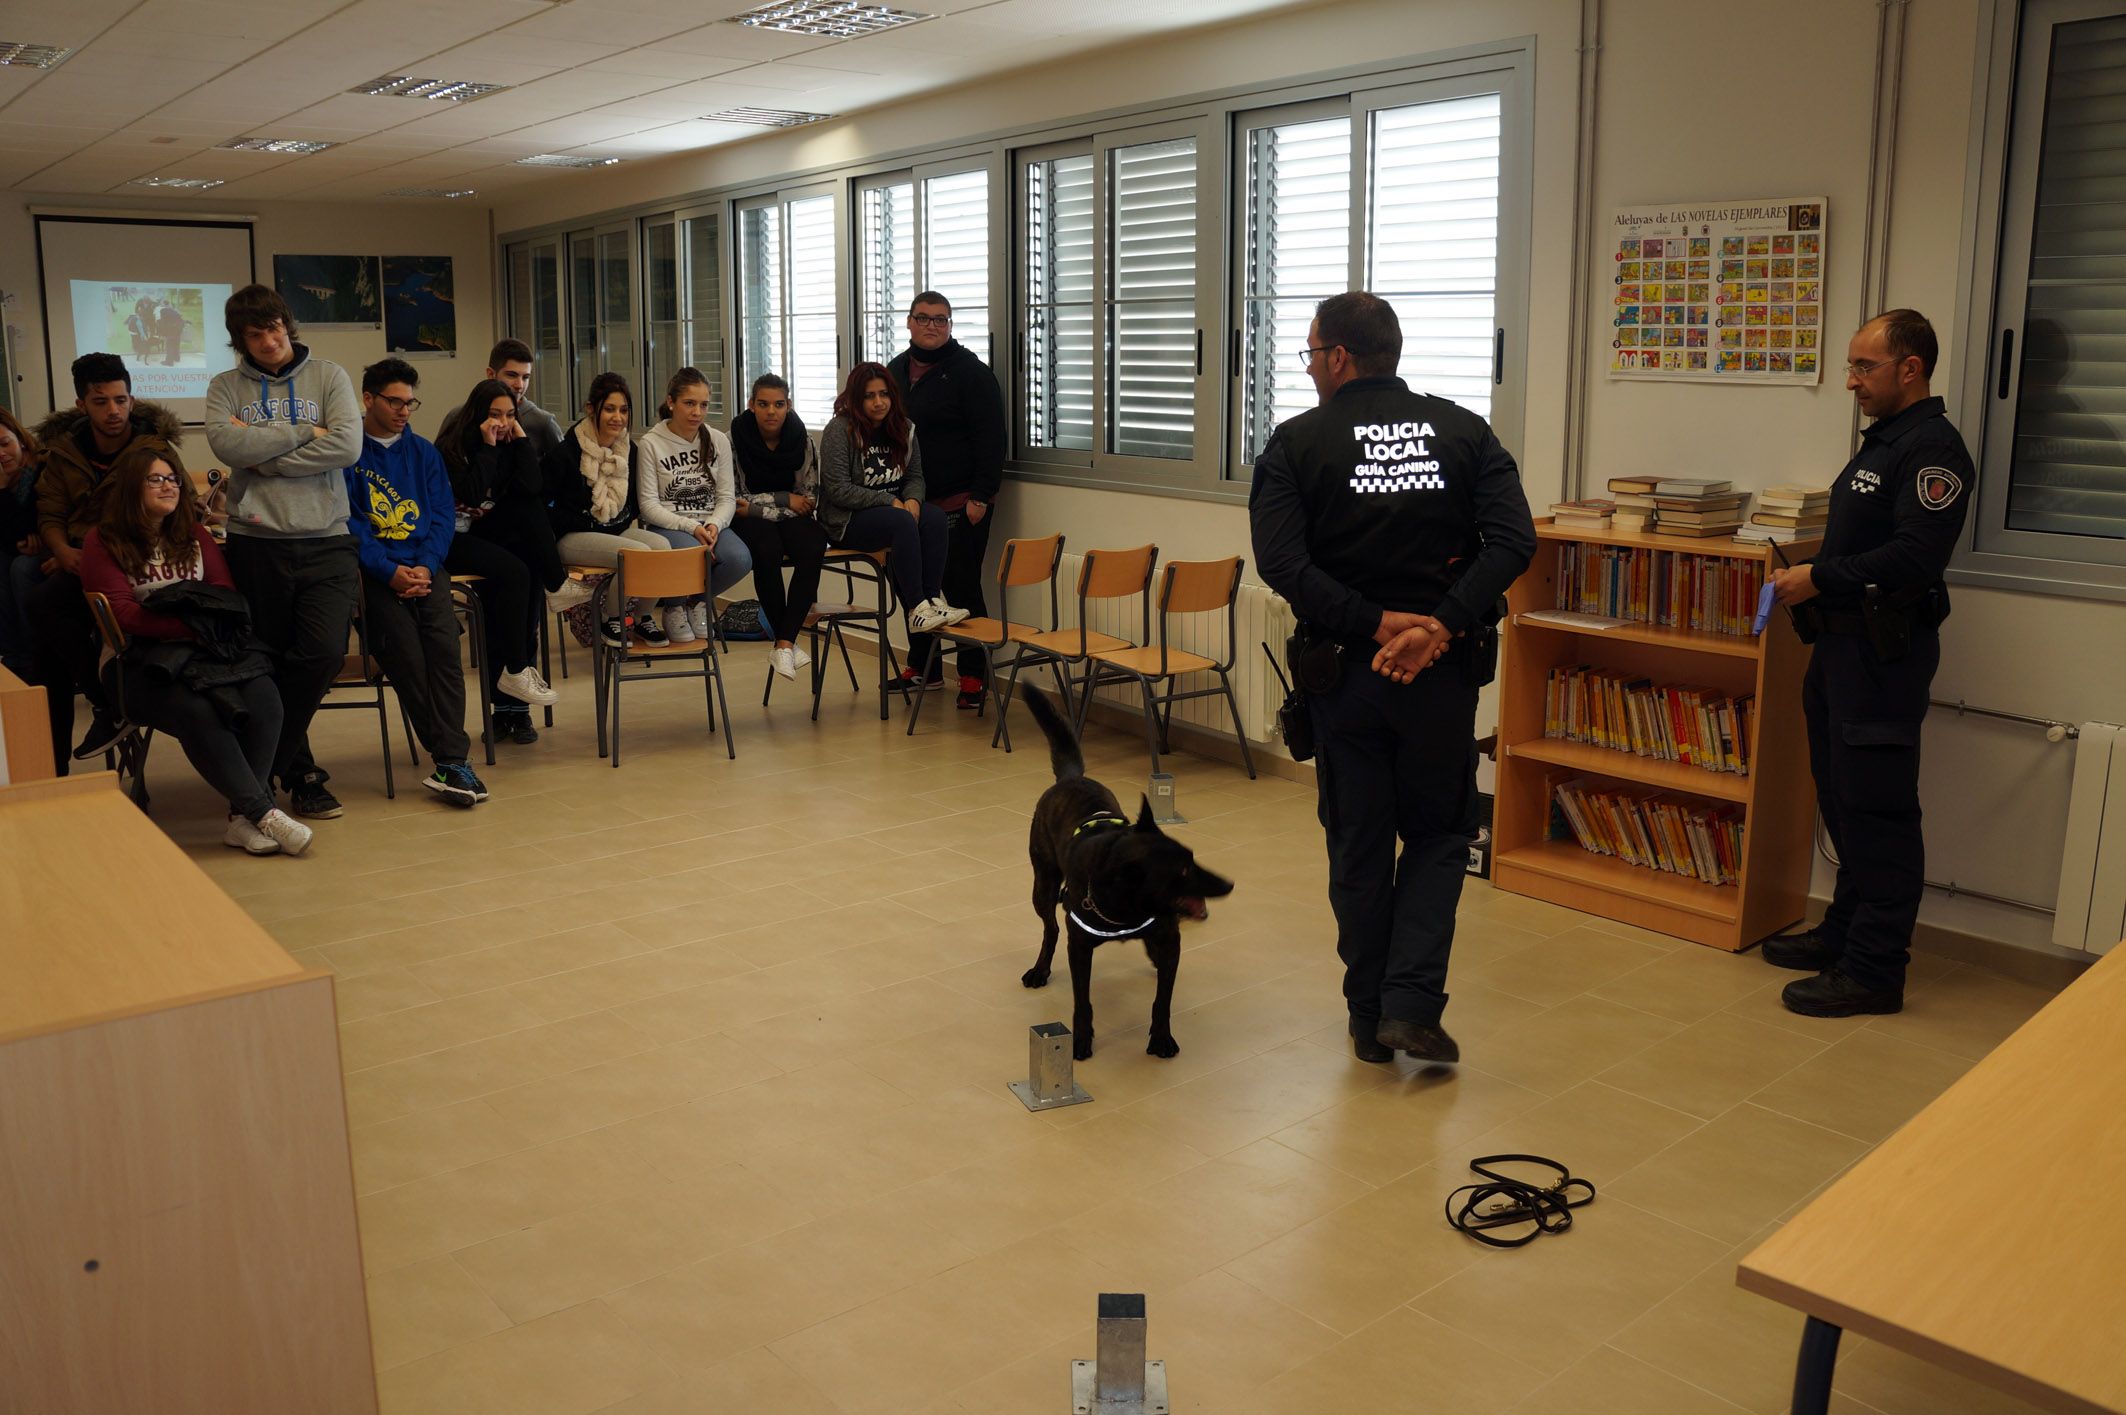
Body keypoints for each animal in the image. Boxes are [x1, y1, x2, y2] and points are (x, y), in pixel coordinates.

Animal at [1016, 684, 1233, 1058]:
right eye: (1182, 871)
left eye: (1192, 858)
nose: (1229, 883)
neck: (1128, 907)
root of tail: (1072, 777)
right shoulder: (1080, 948)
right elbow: (1082, 1001)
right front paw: (1081, 1039)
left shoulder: (1170, 939)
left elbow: (1162, 999)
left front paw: (1161, 1038)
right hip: (1042, 885)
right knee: (1051, 929)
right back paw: (1040, 969)